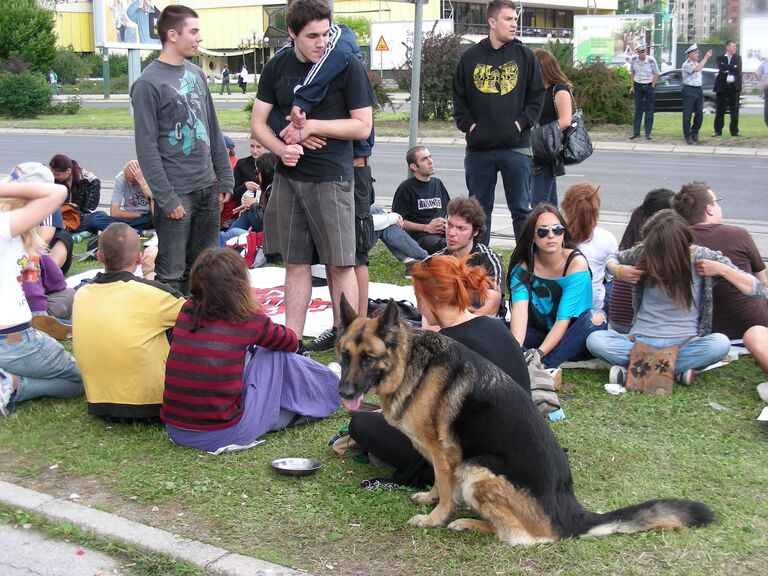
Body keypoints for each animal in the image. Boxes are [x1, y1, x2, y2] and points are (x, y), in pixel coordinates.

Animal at [338, 300, 712, 548]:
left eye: (368, 358)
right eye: (344, 355)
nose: (344, 393)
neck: (410, 363)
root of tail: (571, 512)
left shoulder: (447, 454)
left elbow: (446, 490)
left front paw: (435, 519)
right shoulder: (435, 451)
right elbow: (439, 485)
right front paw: (429, 498)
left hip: (477, 469)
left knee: (525, 536)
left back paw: (469, 523)